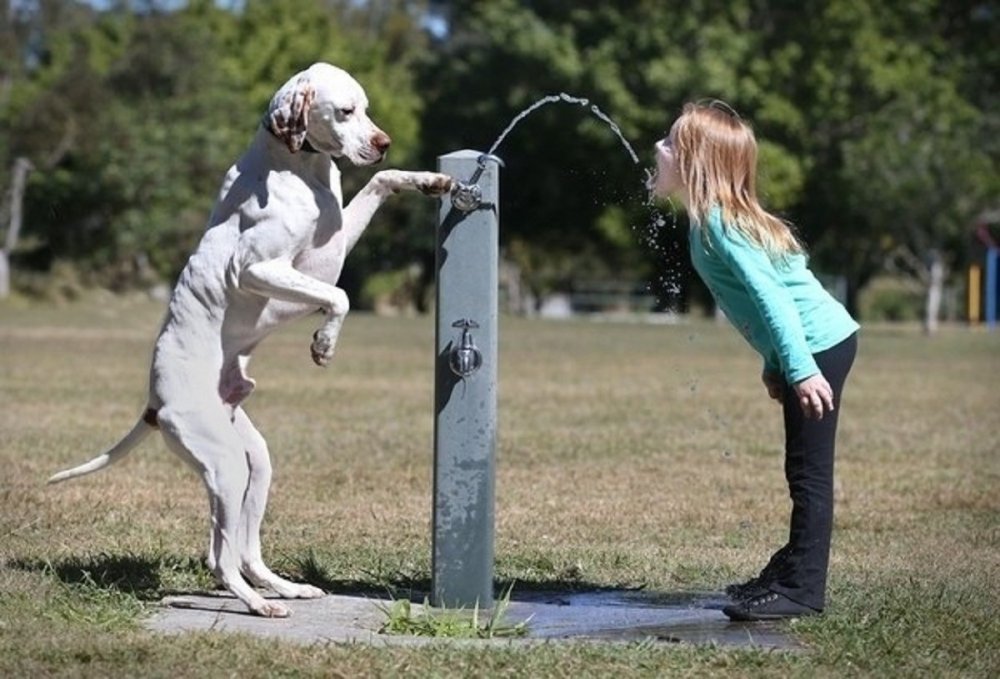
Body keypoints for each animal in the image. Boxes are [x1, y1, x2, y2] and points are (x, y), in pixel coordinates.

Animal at [47, 63, 454, 620]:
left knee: (243, 550)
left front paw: (429, 181)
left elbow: (379, 181)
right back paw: (259, 605)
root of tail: (154, 403)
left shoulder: (333, 245)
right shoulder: (261, 268)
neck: (298, 167)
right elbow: (340, 296)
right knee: (220, 557)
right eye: (345, 111)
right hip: (225, 467)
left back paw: (284, 589)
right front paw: (324, 343)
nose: (383, 142)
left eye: (367, 109)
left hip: (253, 464)